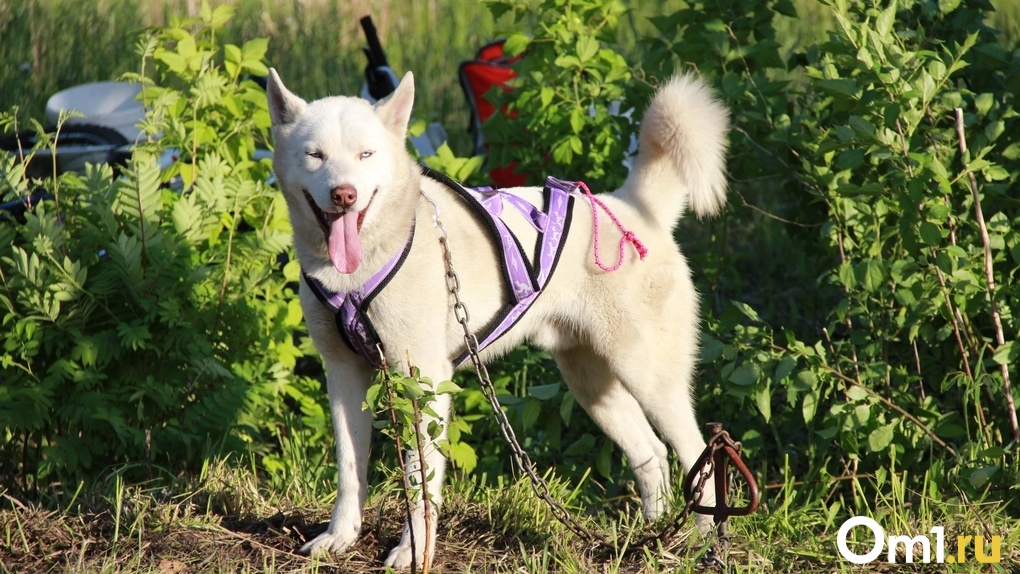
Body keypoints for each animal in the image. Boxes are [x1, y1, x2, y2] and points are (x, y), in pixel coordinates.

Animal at [263, 68, 726, 570]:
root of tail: (635, 207)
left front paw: (414, 551)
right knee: (651, 453)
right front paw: (339, 538)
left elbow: (422, 482)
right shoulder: (344, 375)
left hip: (649, 377)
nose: (344, 195)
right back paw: (648, 536)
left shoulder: (424, 380)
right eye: (315, 155)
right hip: (592, 386)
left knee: (696, 453)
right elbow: (351, 469)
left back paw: (702, 543)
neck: (360, 269)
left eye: (366, 154)